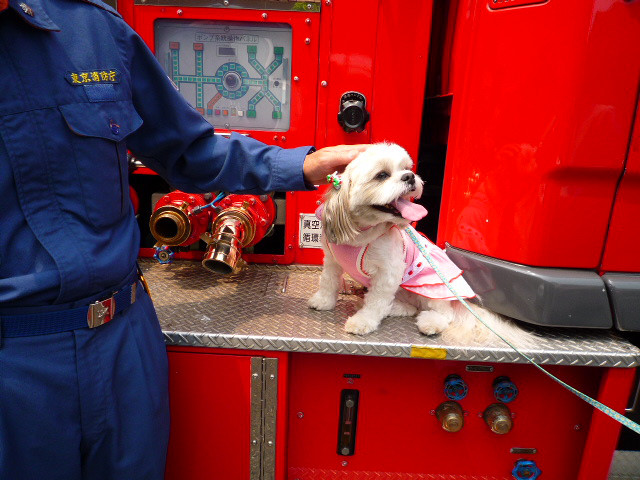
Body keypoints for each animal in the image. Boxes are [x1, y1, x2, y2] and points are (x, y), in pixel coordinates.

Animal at [308, 142, 532, 344]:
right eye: (382, 175)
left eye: (407, 168)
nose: (409, 176)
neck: (362, 234)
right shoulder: (332, 260)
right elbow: (328, 281)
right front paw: (323, 301)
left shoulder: (388, 272)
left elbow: (376, 301)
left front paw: (363, 322)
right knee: (409, 307)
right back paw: (397, 307)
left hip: (431, 286)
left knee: (442, 312)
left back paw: (430, 323)